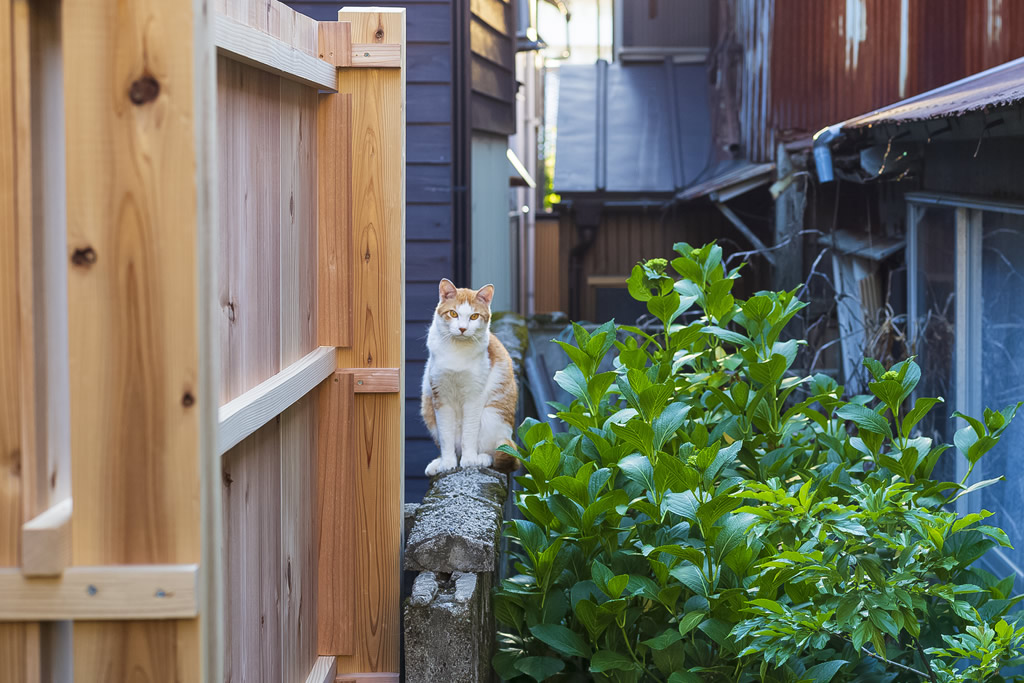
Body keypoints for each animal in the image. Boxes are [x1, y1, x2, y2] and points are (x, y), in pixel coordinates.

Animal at [421, 278, 520, 475]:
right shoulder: (440, 397)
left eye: (474, 316)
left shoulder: (474, 397)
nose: (462, 328)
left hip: (492, 417)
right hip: (428, 408)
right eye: (453, 313)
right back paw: (437, 463)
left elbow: (469, 433)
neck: (456, 351)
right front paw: (447, 462)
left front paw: (469, 460)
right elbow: (446, 437)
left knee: (496, 453)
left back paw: (481, 458)